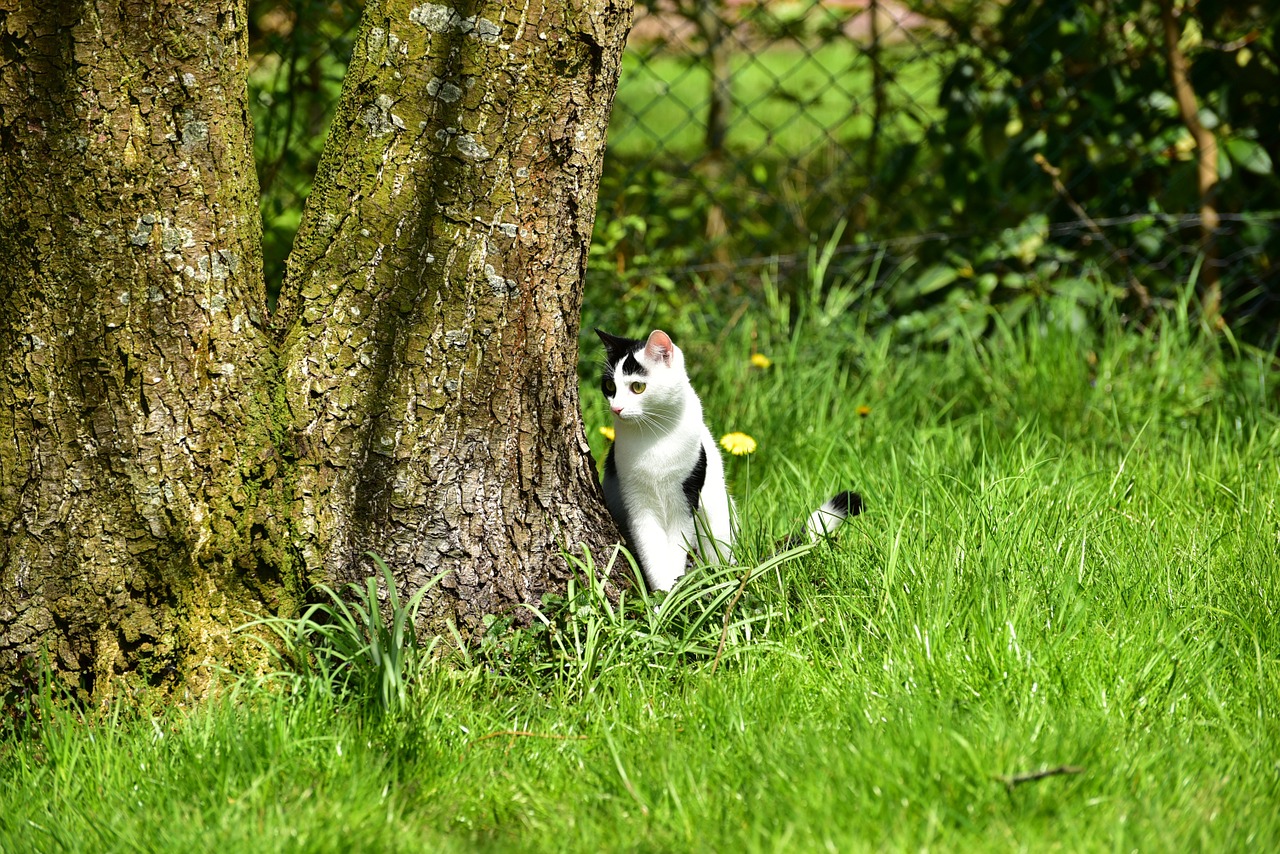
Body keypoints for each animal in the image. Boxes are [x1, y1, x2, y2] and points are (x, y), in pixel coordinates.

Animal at [596, 330, 860, 594]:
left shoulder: (685, 499)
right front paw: (662, 595)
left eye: (637, 387)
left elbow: (676, 547)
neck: (653, 438)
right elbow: (652, 551)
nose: (616, 408)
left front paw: (673, 594)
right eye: (609, 386)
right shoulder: (638, 502)